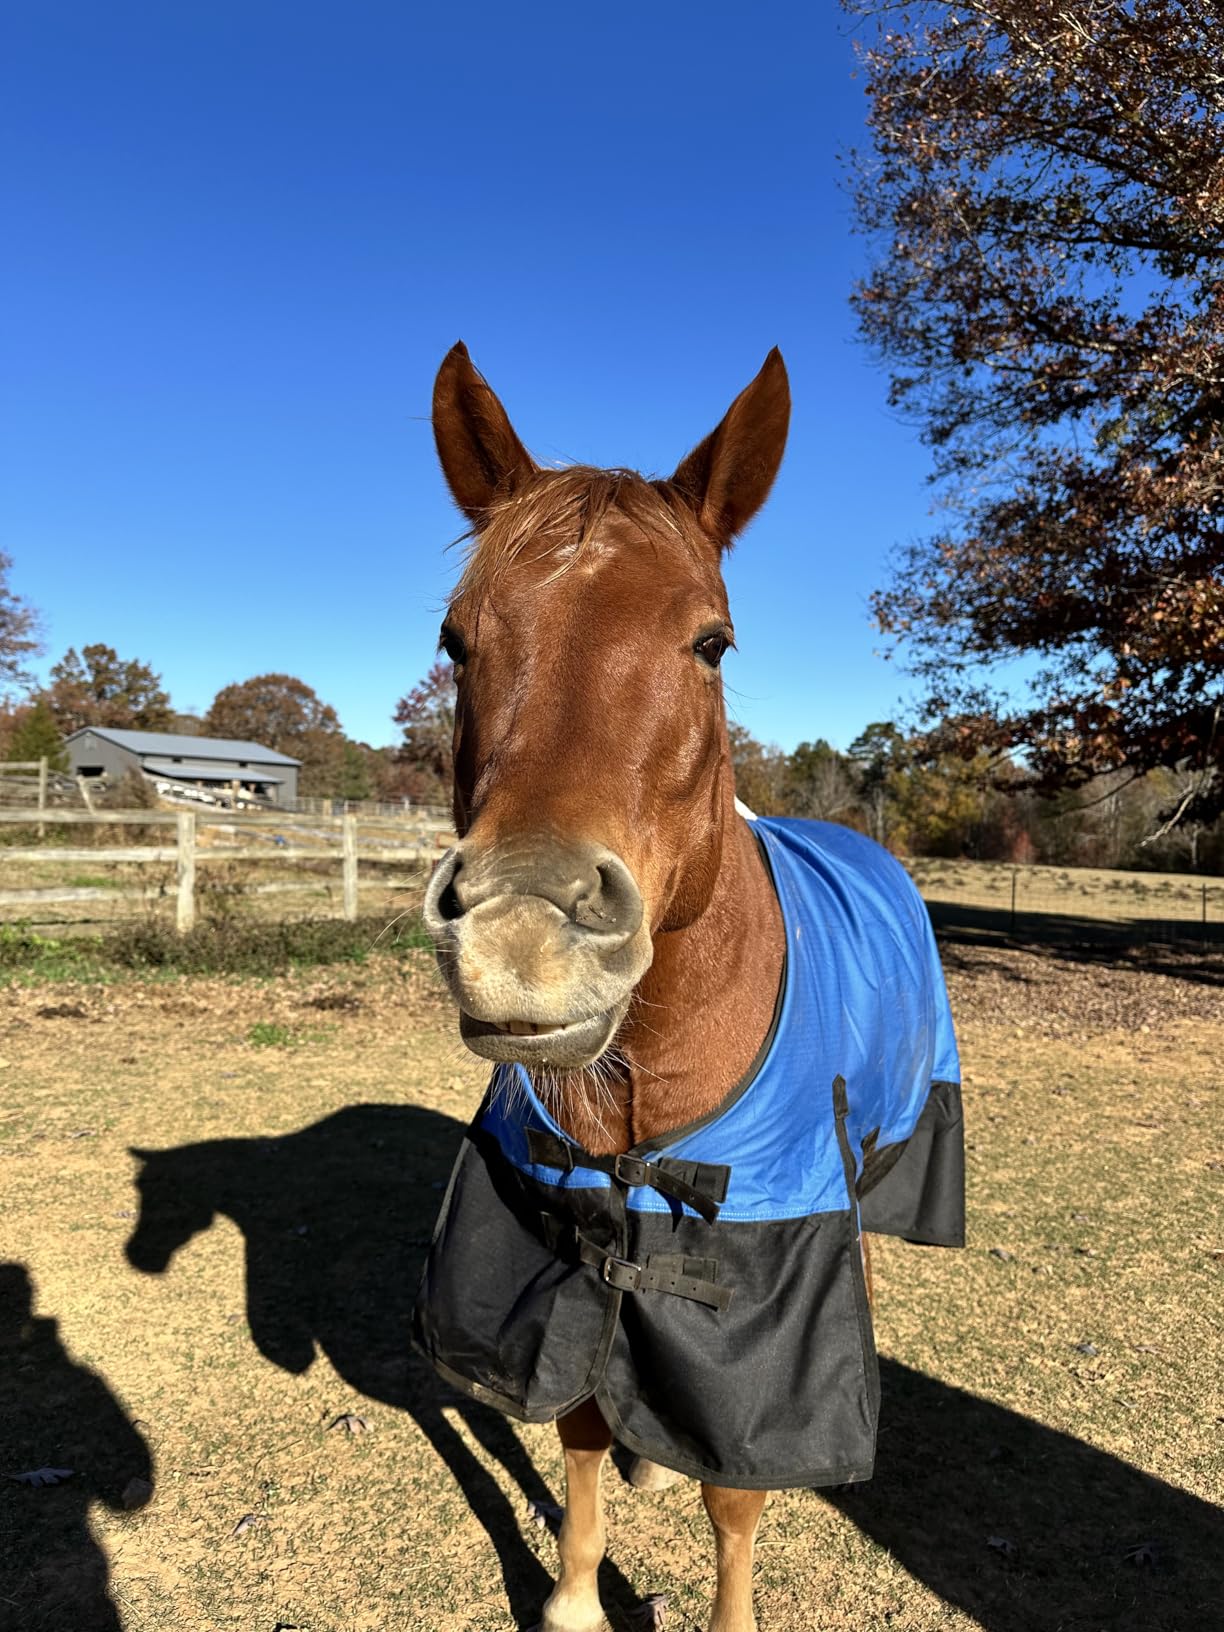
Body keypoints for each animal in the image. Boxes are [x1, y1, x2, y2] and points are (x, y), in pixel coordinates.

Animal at [415, 342, 964, 1632]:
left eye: (712, 642)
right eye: (458, 639)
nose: (524, 934)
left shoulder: (767, 1287)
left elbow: (736, 1486)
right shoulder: (563, 1246)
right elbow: (576, 1423)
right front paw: (573, 1598)